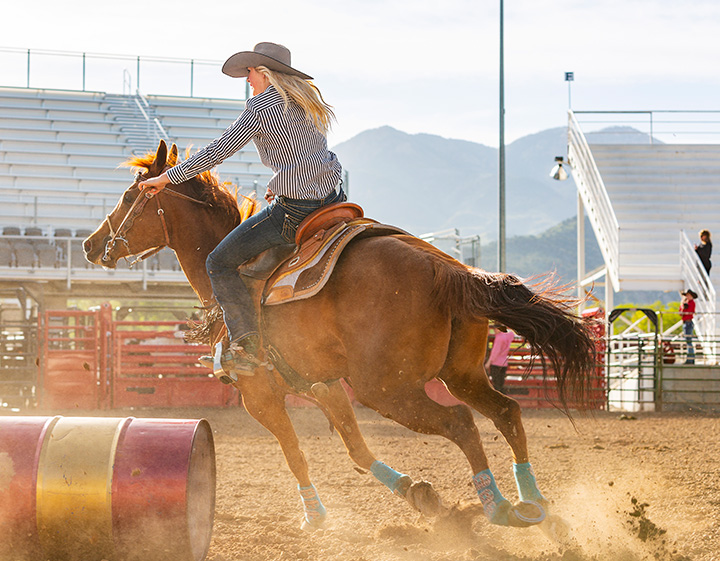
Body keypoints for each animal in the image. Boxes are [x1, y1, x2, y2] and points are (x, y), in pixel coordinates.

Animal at [83, 140, 597, 533]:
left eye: (128, 197)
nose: (90, 245)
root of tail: (444, 267)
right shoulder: (322, 385)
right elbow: (355, 447)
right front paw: (418, 493)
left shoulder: (259, 393)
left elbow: (295, 454)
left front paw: (314, 516)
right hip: (462, 373)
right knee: (506, 412)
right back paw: (534, 504)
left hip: (386, 388)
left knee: (460, 423)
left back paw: (498, 506)